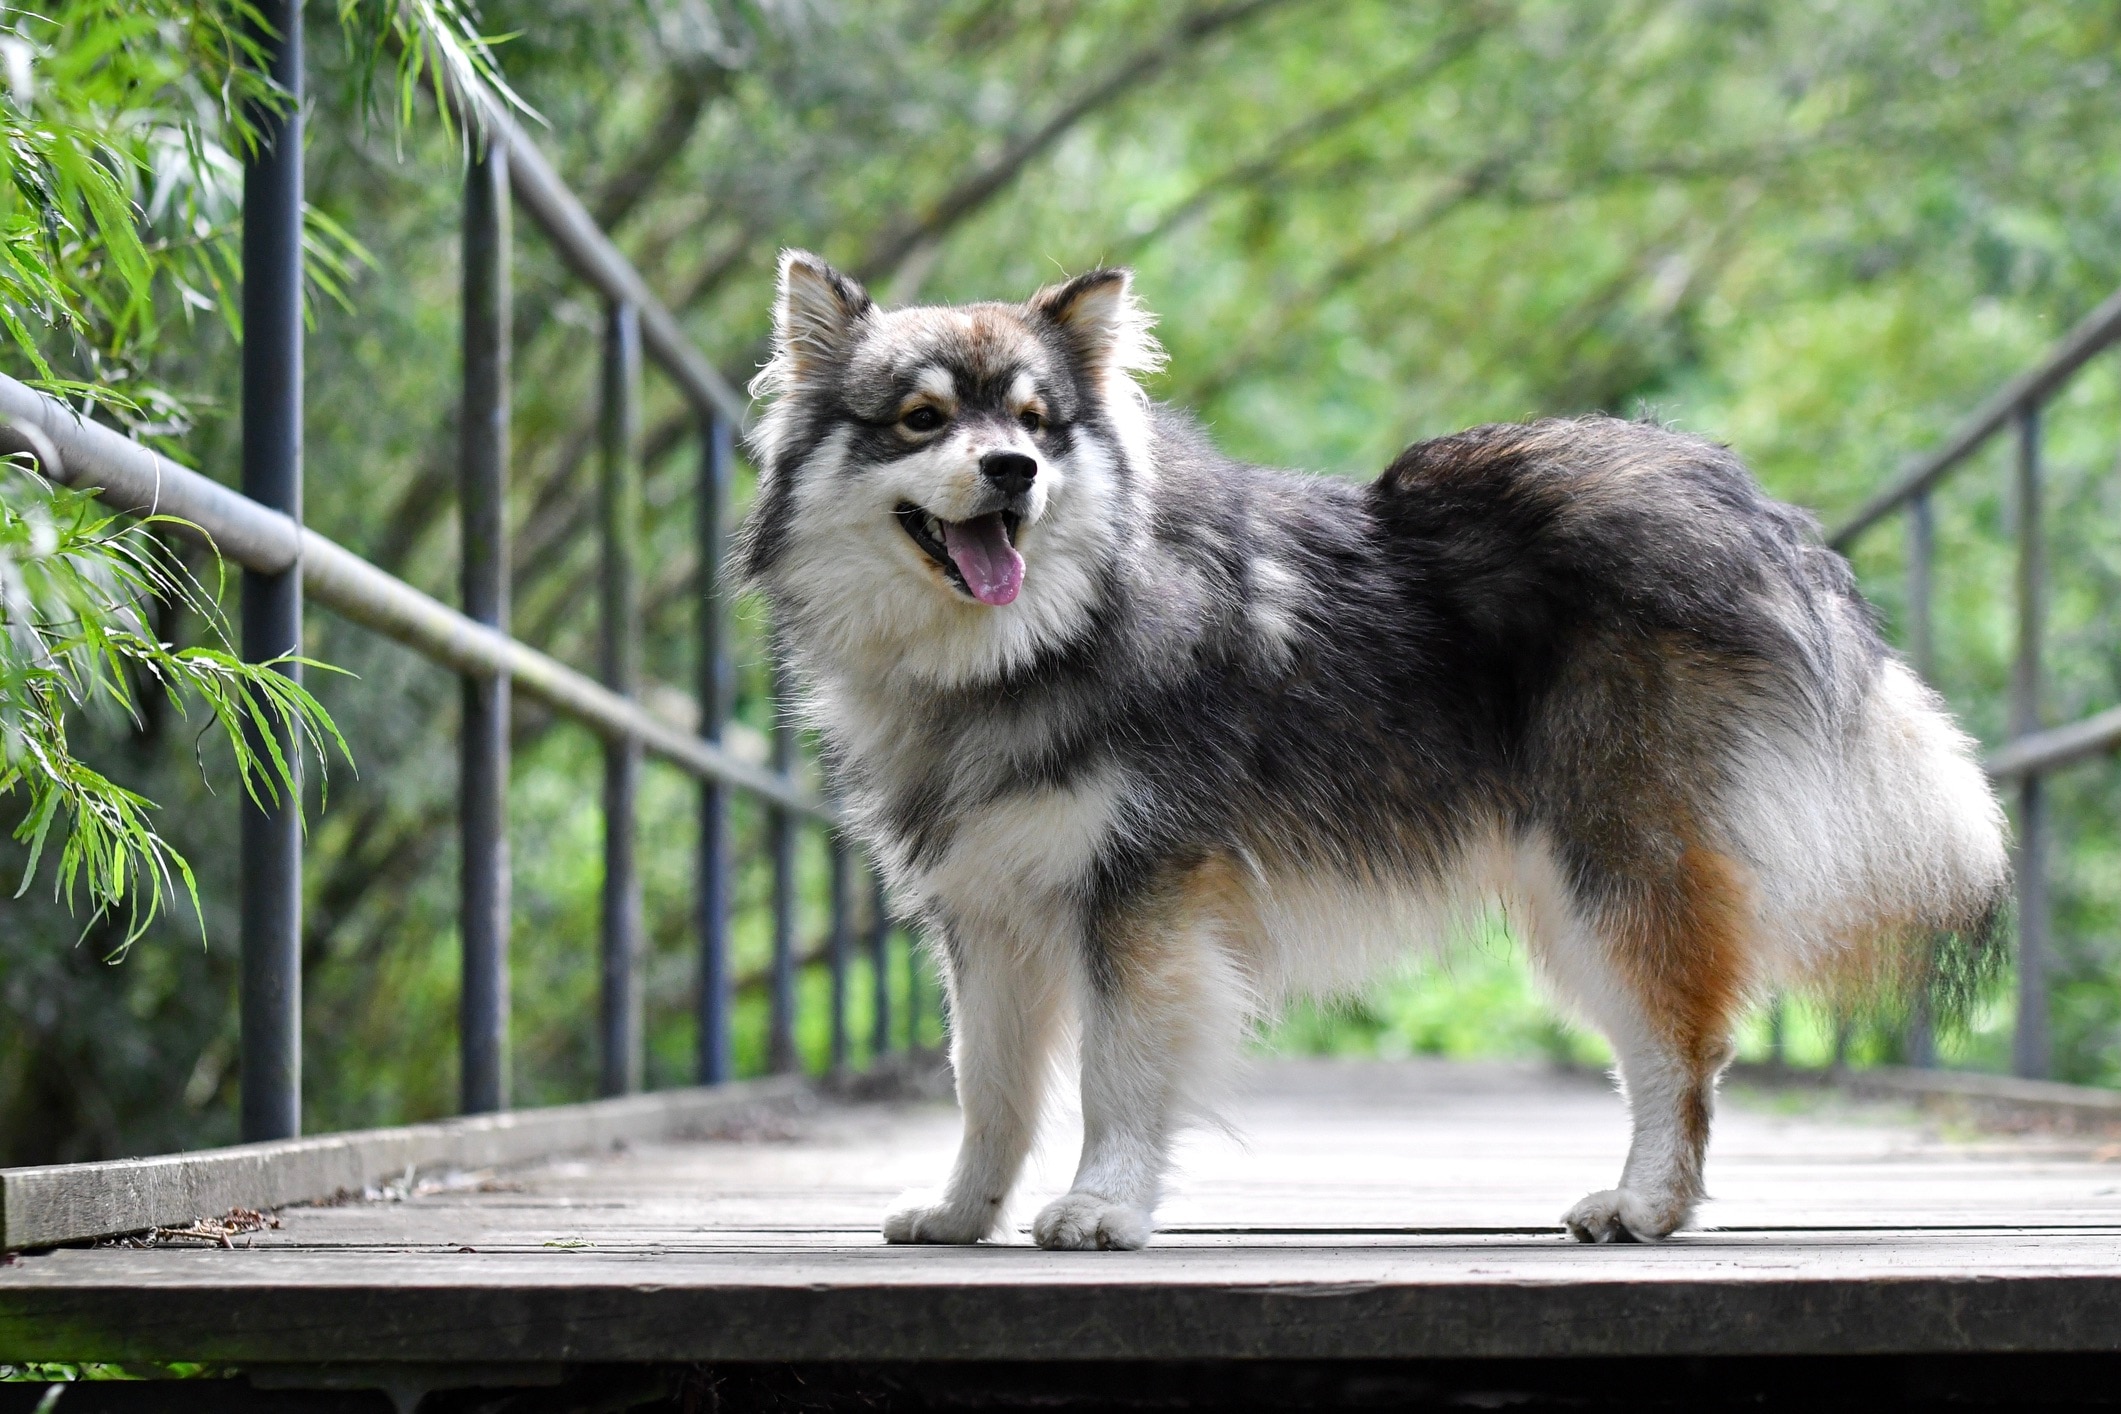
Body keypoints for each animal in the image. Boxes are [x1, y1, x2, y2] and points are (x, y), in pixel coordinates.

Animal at [742, 249, 2002, 1246]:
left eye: (1037, 421)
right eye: (924, 418)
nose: (1014, 471)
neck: (1032, 646)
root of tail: (1752, 515)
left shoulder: (1143, 893)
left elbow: (1116, 1071)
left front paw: (1102, 1206)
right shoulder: (989, 912)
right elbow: (989, 1090)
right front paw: (965, 1213)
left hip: (1612, 866)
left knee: (1679, 1051)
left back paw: (1646, 1204)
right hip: (1569, 891)